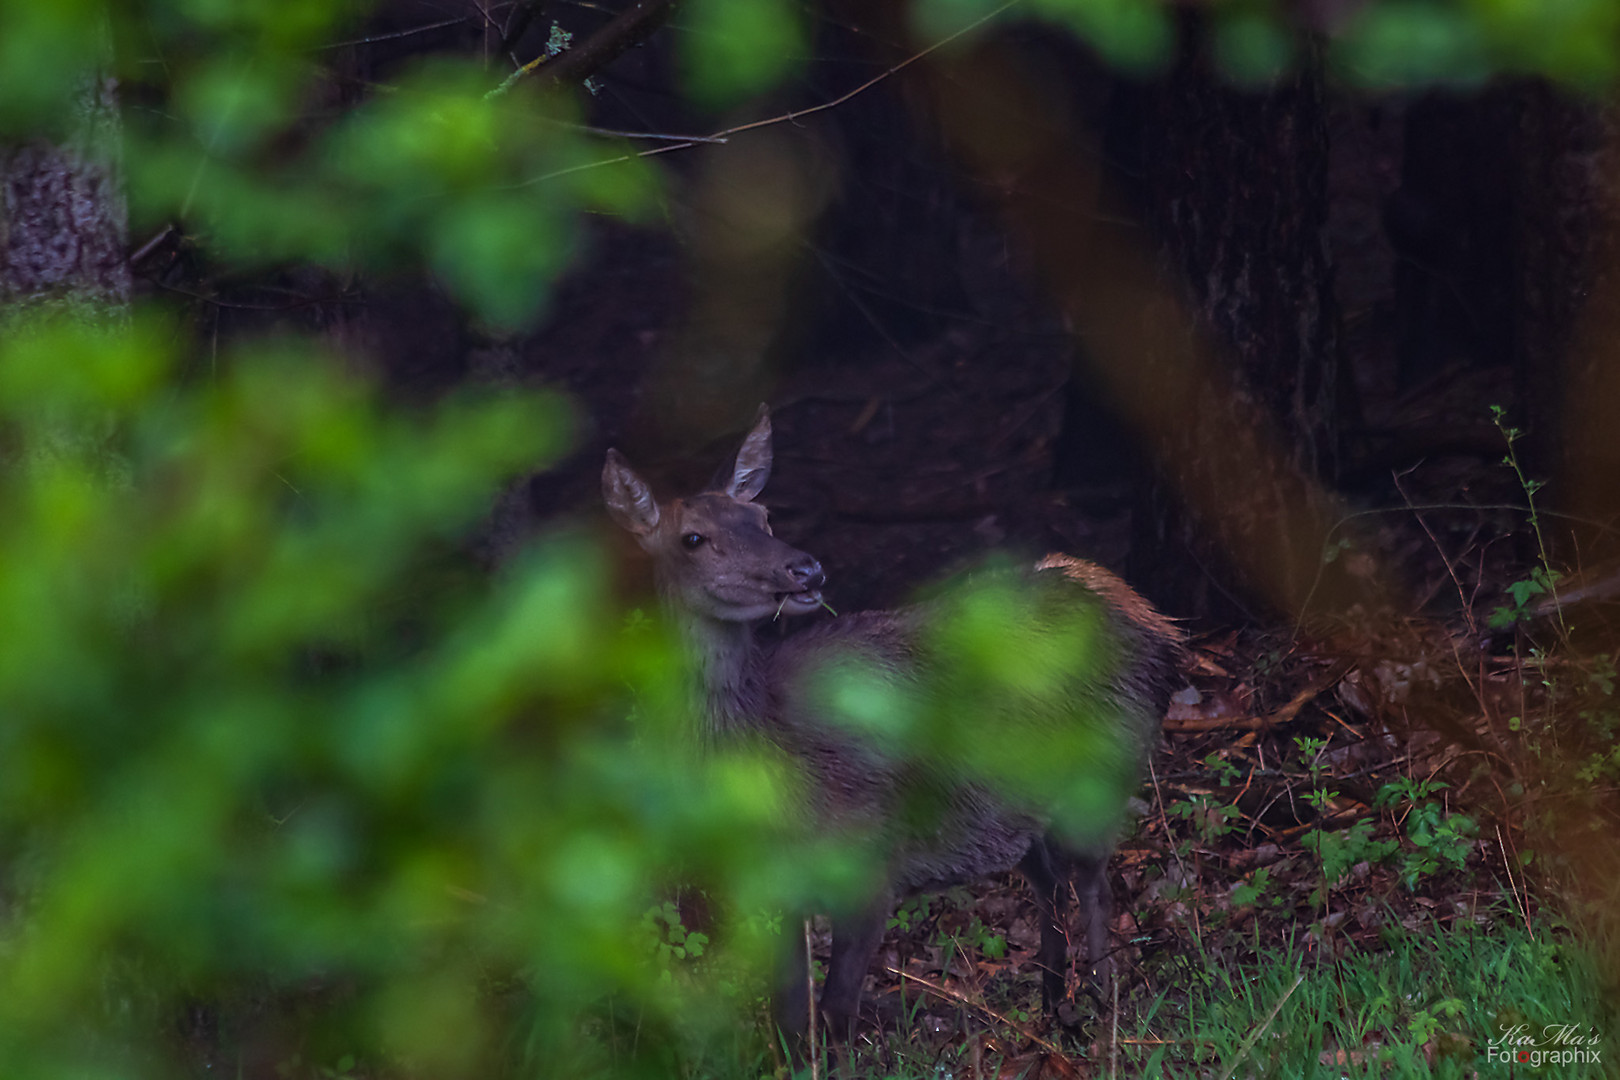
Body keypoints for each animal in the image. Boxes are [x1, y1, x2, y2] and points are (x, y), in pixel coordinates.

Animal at [602, 404, 1185, 1036]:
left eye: (764, 515)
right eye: (693, 538)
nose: (806, 569)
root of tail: (1155, 621)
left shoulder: (870, 866)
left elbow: (837, 1012)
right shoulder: (772, 891)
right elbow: (789, 1015)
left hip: (1106, 762)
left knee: (1093, 881)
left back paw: (1103, 1002)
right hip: (1013, 811)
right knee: (1050, 882)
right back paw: (1054, 1005)